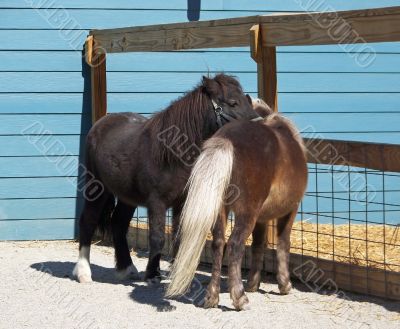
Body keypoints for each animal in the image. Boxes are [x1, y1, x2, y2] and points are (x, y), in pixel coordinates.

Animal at [72, 73, 260, 282]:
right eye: (233, 102)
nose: (257, 130)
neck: (172, 154)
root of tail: (100, 124)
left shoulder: (181, 202)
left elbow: (178, 238)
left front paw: (175, 274)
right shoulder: (157, 203)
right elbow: (158, 238)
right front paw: (153, 274)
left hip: (127, 197)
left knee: (118, 224)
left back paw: (126, 268)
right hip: (96, 187)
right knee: (88, 221)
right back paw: (83, 272)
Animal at [167, 110, 308, 310]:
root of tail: (227, 140)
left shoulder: (261, 218)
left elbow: (258, 245)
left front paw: (253, 283)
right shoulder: (290, 210)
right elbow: (283, 243)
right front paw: (284, 284)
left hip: (222, 210)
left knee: (218, 244)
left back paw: (212, 297)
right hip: (247, 212)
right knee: (235, 245)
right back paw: (239, 298)